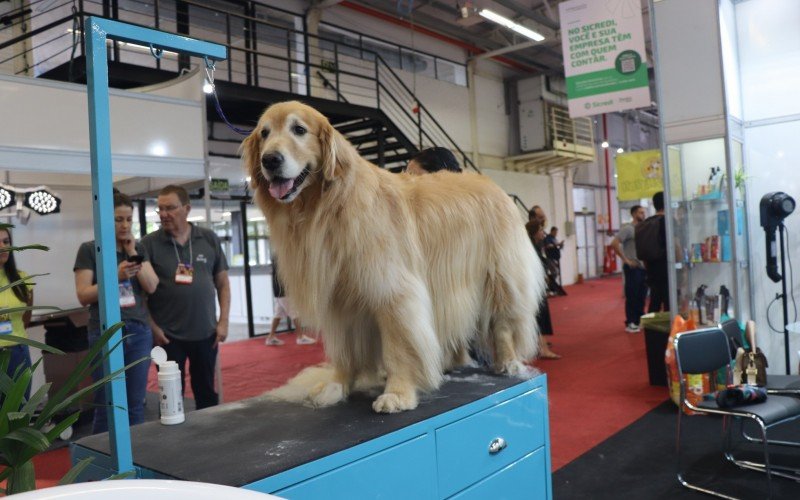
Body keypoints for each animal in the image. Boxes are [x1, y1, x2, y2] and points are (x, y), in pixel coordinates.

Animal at [242, 101, 544, 414]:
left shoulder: (393, 290)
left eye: (299, 130)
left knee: (503, 323)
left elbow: (399, 346)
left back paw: (507, 361)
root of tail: (492, 184)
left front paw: (398, 393)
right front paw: (337, 385)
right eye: (264, 133)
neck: (328, 204)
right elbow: (345, 351)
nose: (270, 160)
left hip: (499, 275)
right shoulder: (339, 299)